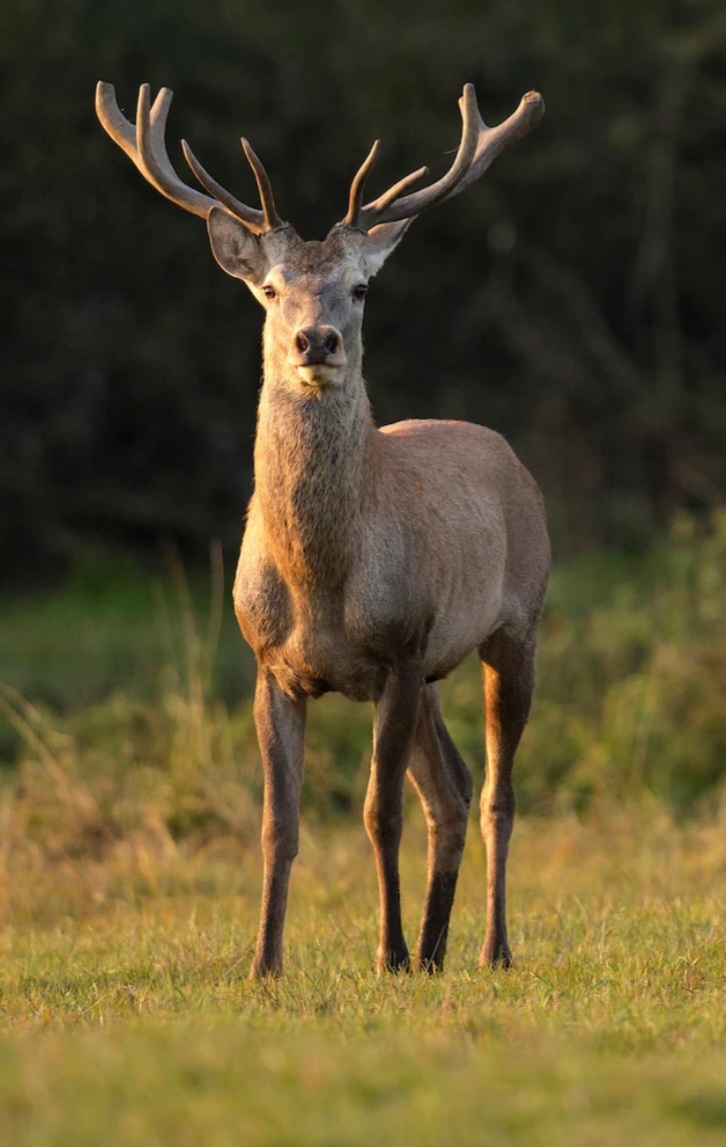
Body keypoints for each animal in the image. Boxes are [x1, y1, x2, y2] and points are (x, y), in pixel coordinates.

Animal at [96, 77, 550, 979]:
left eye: (362, 287)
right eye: (270, 288)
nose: (316, 339)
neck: (320, 582)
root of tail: (511, 457)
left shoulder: (401, 646)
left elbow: (379, 813)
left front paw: (386, 952)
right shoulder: (271, 663)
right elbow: (280, 823)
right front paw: (264, 964)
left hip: (515, 623)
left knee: (493, 793)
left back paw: (489, 947)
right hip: (434, 672)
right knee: (450, 789)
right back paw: (437, 950)